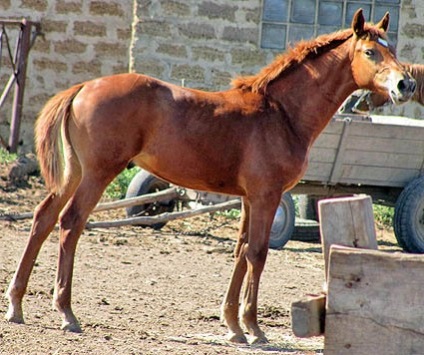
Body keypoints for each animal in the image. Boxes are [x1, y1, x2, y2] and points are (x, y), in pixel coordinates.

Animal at [4, 10, 414, 344]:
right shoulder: (267, 195)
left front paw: (233, 326)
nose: (406, 85)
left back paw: (16, 305)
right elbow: (258, 253)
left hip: (73, 173)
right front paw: (255, 328)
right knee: (71, 223)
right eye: (370, 52)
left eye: (392, 48)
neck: (281, 113)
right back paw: (66, 312)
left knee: (42, 218)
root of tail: (83, 87)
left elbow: (240, 251)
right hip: (98, 173)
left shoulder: (248, 198)